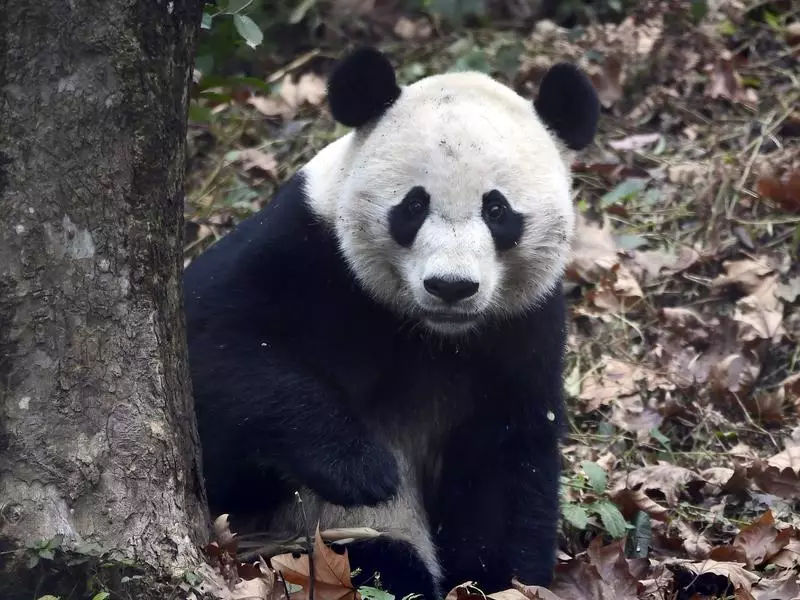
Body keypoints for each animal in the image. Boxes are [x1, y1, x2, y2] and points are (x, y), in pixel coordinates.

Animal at [183, 46, 599, 599]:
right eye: (414, 205)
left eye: (497, 210)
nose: (451, 286)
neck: (430, 334)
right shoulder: (307, 252)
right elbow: (218, 351)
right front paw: (359, 466)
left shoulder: (522, 325)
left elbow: (508, 458)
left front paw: (496, 580)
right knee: (367, 555)